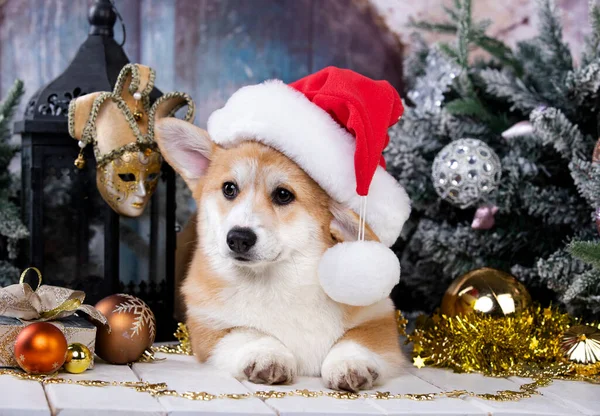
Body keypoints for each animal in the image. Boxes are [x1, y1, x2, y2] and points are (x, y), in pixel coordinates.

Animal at [155, 118, 408, 394]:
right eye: (229, 189)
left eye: (283, 195)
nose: (238, 238)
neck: (275, 282)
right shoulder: (209, 330)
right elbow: (248, 332)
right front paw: (267, 354)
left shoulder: (379, 319)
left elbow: (356, 339)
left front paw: (350, 362)